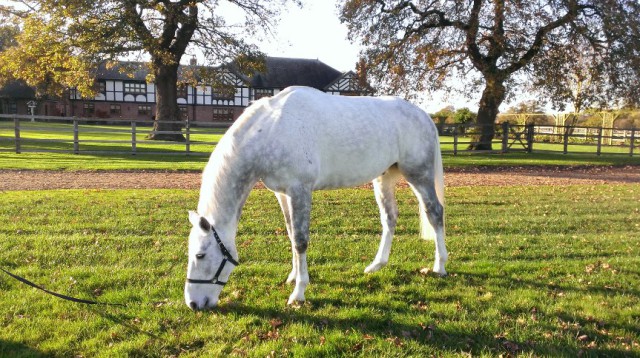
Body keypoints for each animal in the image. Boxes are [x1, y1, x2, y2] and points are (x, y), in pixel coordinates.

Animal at [182, 86, 448, 310]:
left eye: (200, 255)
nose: (193, 303)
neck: (271, 131)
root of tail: (424, 116)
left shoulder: (300, 190)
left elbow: (301, 241)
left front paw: (298, 293)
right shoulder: (283, 194)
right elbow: (291, 235)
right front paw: (292, 277)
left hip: (419, 175)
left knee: (435, 213)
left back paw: (440, 266)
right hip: (385, 177)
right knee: (389, 218)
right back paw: (376, 265)